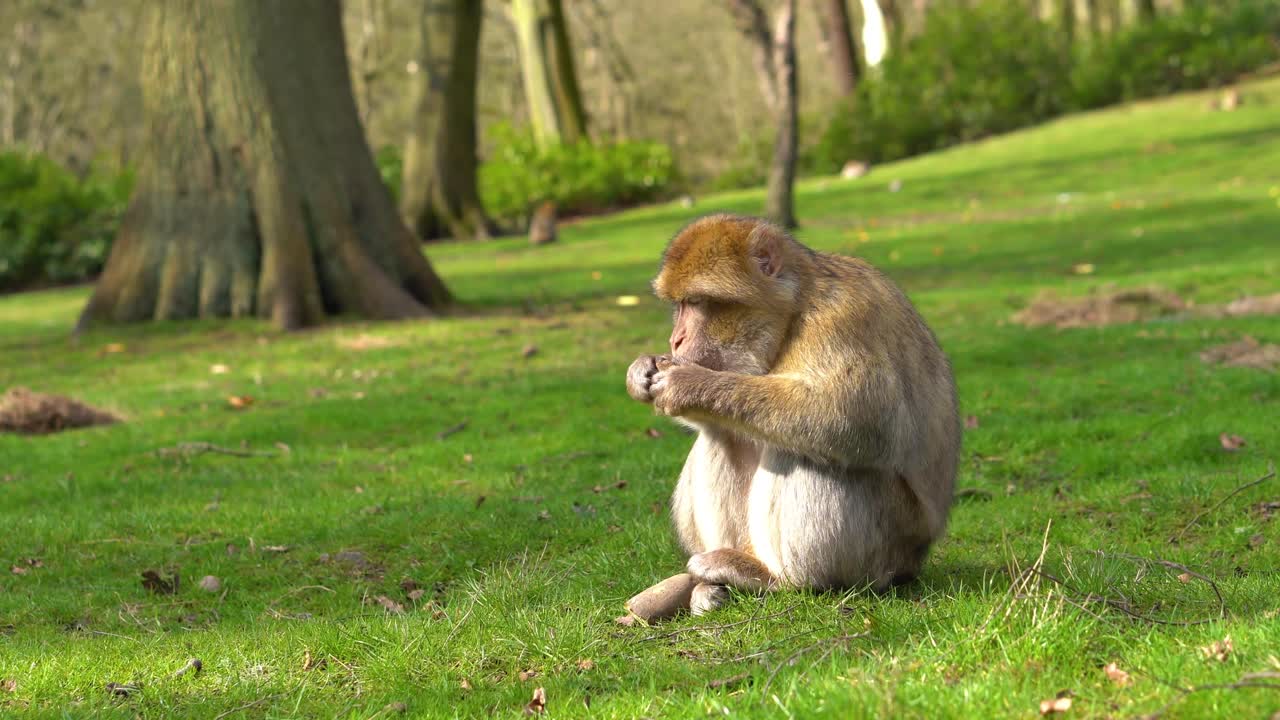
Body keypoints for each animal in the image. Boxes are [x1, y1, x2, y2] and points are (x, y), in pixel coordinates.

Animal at [622, 214, 960, 619]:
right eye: (679, 305)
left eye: (697, 302)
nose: (676, 340)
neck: (797, 308)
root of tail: (915, 561)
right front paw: (643, 369)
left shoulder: (842, 318)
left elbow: (856, 419)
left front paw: (687, 383)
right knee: (725, 435)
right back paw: (719, 582)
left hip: (884, 551)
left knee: (801, 451)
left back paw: (776, 577)